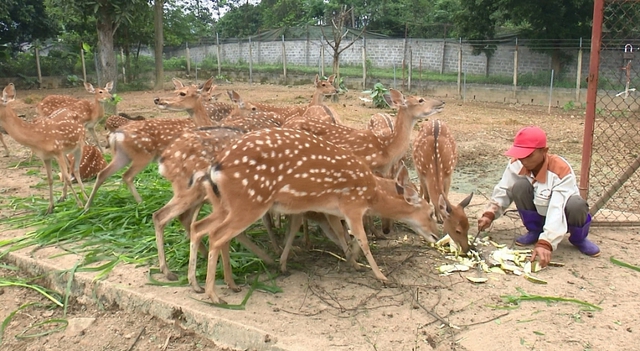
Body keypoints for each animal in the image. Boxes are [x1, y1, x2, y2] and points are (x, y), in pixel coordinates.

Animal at [0, 83, 87, 214]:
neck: (37, 136)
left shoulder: (57, 151)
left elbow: (67, 178)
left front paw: (80, 205)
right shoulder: (45, 157)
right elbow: (50, 179)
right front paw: (50, 208)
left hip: (79, 143)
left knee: (75, 169)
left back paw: (86, 198)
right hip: (66, 150)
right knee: (69, 167)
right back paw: (63, 196)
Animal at [185, 128, 440, 304]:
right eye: (430, 213)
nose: (437, 236)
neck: (372, 193)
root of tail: (215, 167)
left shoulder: (332, 210)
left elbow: (343, 235)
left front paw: (352, 261)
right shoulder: (352, 203)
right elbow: (363, 238)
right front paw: (381, 276)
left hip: (226, 205)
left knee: (200, 227)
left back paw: (200, 284)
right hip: (250, 202)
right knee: (217, 235)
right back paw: (213, 294)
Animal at [412, 119, 472, 254]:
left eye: (468, 226)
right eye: (457, 230)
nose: (466, 249)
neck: (433, 165)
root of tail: (435, 120)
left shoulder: (449, 174)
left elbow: (444, 196)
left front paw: (440, 218)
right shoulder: (421, 173)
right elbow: (428, 197)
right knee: (422, 189)